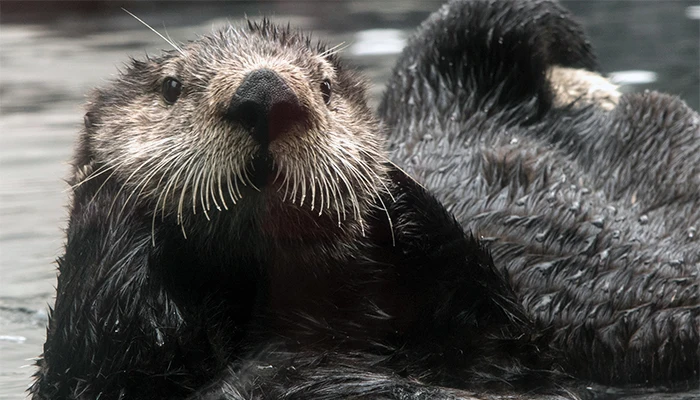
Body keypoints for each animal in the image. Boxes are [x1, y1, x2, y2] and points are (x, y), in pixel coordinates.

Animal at [31, 19, 566, 400]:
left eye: (326, 88)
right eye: (170, 87)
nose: (265, 91)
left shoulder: (495, 352)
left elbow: (510, 351)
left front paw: (395, 191)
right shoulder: (101, 367)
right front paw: (107, 190)